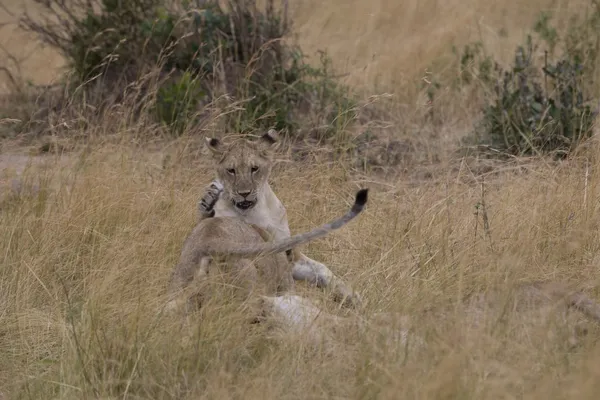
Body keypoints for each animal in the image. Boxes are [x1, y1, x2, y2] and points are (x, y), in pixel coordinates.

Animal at [196, 130, 360, 308]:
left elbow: (322, 269)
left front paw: (352, 296)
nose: (244, 193)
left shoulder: (289, 251)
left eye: (254, 169)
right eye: (231, 170)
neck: (256, 211)